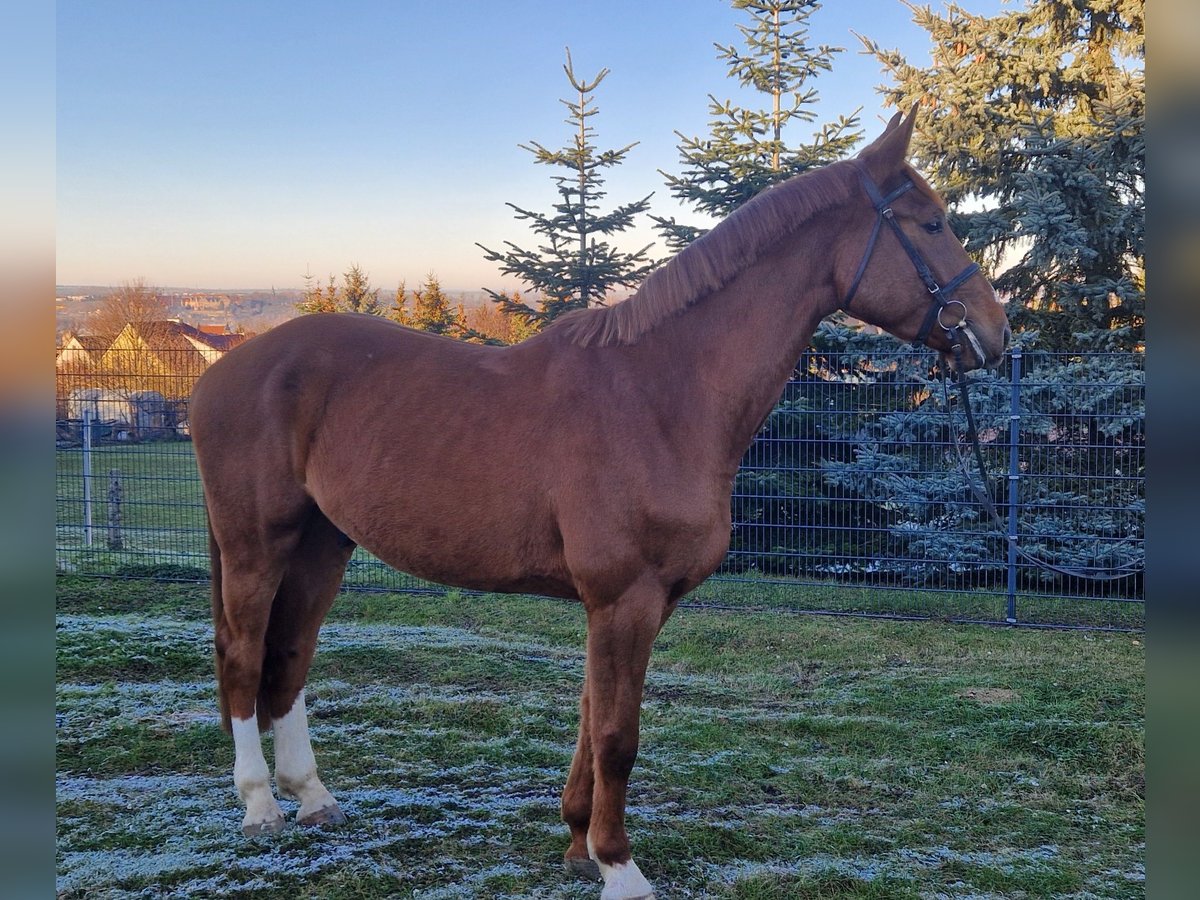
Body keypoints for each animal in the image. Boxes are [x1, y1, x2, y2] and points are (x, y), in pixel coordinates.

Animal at [189, 109, 1012, 897]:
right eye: (931, 224)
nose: (995, 332)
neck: (660, 392)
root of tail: (224, 370)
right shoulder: (626, 597)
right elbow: (619, 736)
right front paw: (620, 867)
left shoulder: (633, 603)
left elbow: (591, 718)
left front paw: (578, 846)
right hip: (257, 544)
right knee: (244, 653)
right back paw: (260, 805)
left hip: (323, 543)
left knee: (290, 656)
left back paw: (312, 796)